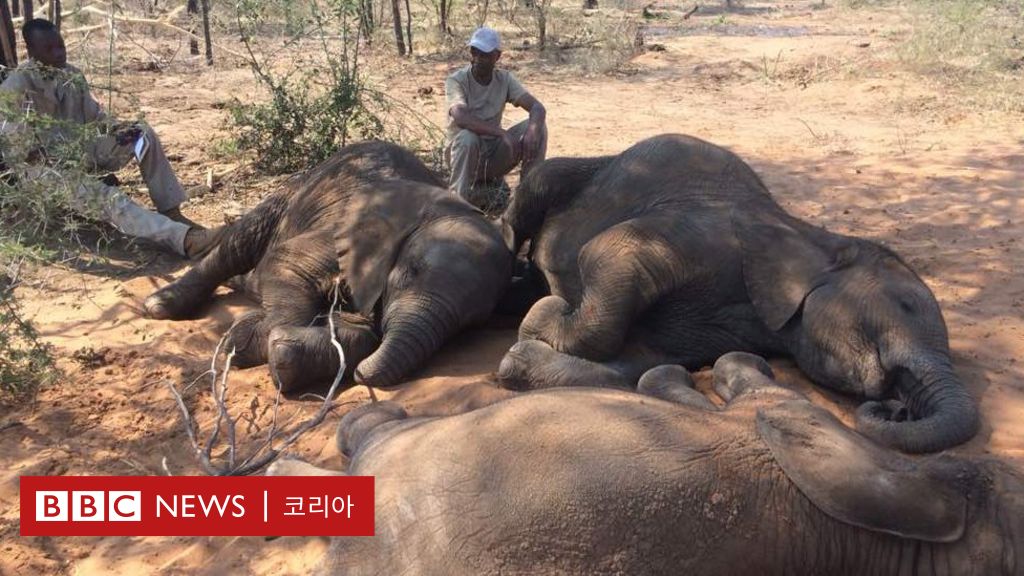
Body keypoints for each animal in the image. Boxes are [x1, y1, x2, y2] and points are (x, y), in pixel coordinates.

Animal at [144, 140, 512, 387]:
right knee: (239, 244)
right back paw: (160, 305)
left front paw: (284, 349)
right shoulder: (338, 233)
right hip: (291, 193)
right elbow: (287, 262)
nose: (362, 376)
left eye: (470, 324)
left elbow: (366, 334)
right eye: (410, 273)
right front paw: (247, 337)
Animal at [499, 132, 978, 450]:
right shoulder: (705, 234)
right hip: (568, 173)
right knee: (532, 194)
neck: (812, 238)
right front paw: (545, 313)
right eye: (905, 304)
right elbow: (607, 252)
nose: (899, 409)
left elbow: (639, 359)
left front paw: (524, 354)